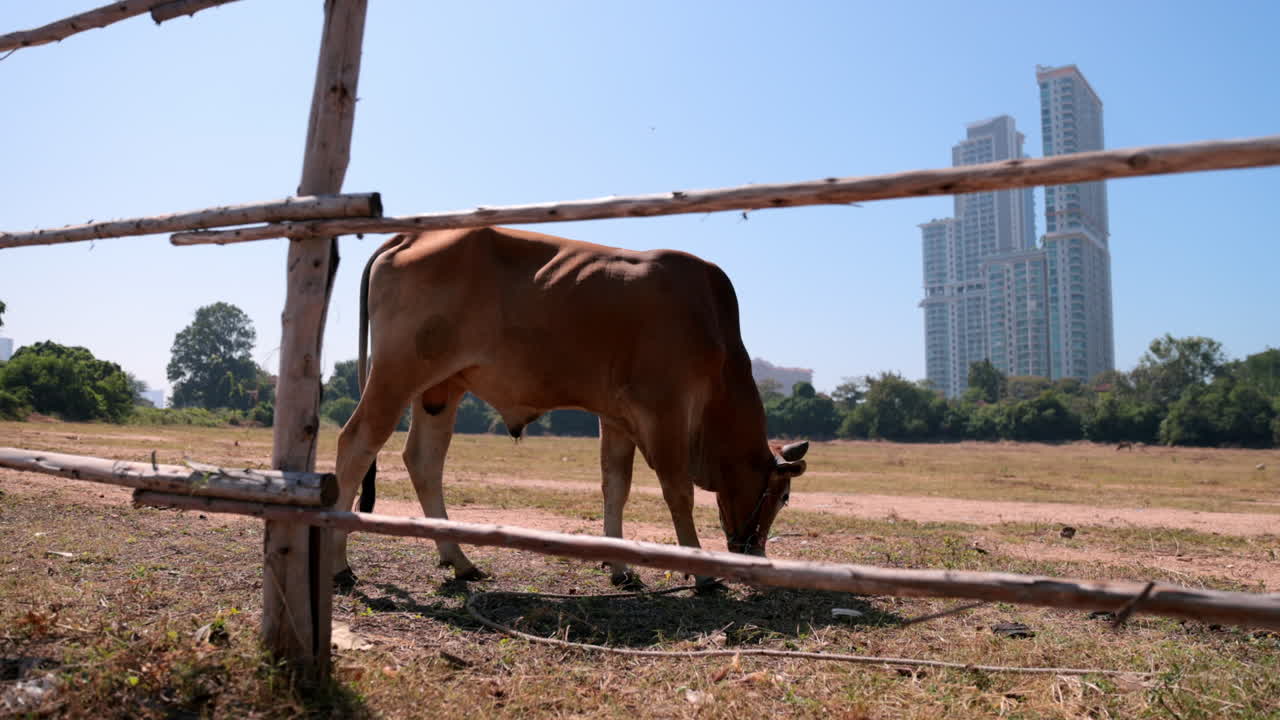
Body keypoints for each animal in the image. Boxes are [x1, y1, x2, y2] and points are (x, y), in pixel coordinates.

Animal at [333, 227, 809, 589]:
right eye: (783, 496)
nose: (756, 556)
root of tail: (413, 234)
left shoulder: (616, 417)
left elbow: (616, 486)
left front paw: (620, 566)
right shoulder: (665, 408)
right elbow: (678, 492)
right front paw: (703, 574)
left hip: (440, 389)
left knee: (423, 462)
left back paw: (461, 560)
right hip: (396, 375)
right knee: (355, 444)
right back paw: (340, 567)